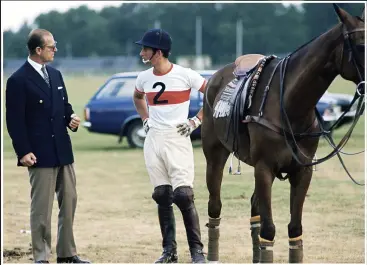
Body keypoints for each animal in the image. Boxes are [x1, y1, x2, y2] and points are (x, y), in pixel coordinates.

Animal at [203, 4, 366, 262]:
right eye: (360, 46)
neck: (290, 104)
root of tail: (213, 79)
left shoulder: (302, 171)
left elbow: (294, 229)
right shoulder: (264, 168)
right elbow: (269, 230)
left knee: (255, 210)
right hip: (215, 156)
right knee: (215, 207)